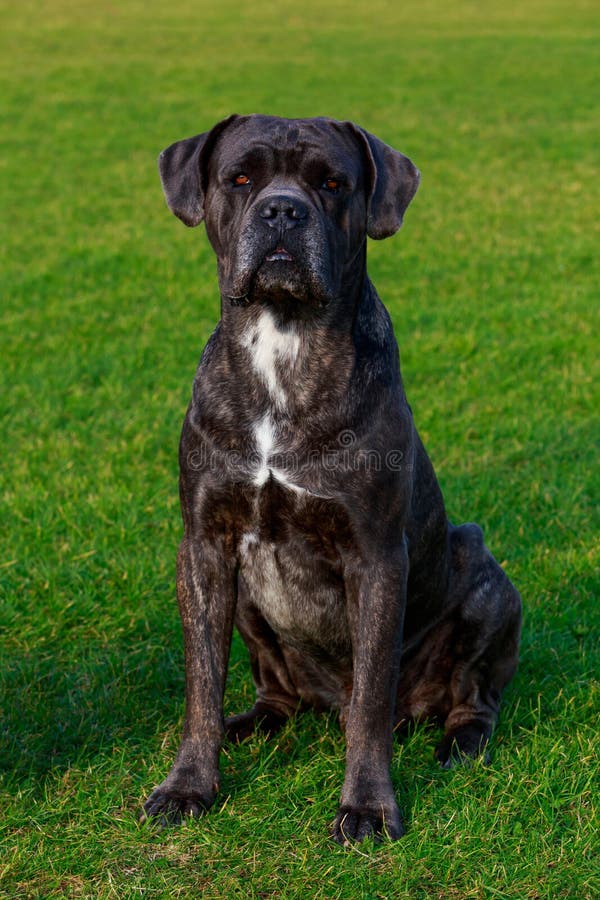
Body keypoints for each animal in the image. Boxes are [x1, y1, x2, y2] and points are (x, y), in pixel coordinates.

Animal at [142, 114, 520, 844]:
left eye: (332, 183)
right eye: (241, 178)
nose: (282, 210)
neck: (283, 342)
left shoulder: (374, 557)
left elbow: (372, 694)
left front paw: (367, 806)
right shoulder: (203, 548)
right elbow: (201, 685)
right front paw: (188, 785)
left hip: (484, 574)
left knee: (472, 694)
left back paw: (460, 743)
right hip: (252, 607)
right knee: (275, 692)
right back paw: (249, 726)